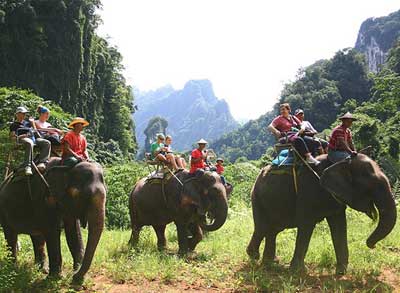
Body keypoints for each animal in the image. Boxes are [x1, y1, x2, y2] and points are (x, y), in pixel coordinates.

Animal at [247, 153, 396, 274]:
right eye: (371, 186)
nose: (372, 245)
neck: (340, 160)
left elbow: (339, 225)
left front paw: (341, 272)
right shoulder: (308, 191)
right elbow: (306, 225)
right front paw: (299, 271)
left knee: (272, 230)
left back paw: (270, 262)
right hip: (257, 198)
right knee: (262, 228)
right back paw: (257, 258)